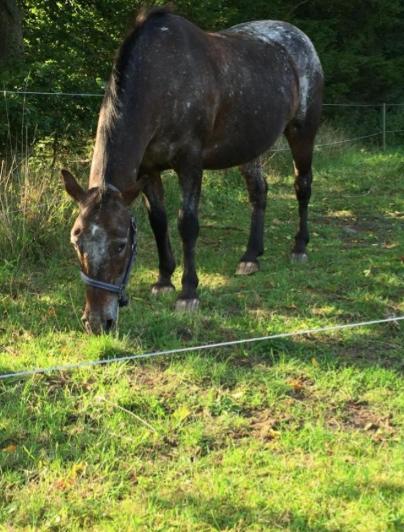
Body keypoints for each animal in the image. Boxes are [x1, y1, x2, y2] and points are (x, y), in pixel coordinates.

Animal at [61, 7, 324, 332]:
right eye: (76, 241)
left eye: (121, 245)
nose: (98, 322)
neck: (162, 79)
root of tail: (299, 38)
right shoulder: (148, 170)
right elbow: (158, 221)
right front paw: (163, 280)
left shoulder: (190, 164)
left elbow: (187, 224)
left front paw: (188, 292)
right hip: (249, 148)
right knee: (259, 192)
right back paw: (251, 256)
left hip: (302, 132)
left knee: (303, 186)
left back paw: (299, 247)